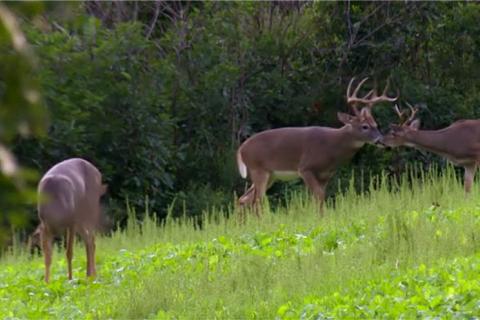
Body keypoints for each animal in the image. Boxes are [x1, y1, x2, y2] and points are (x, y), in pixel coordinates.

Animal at [236, 76, 398, 214]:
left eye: (376, 125)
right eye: (364, 126)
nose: (382, 141)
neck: (332, 147)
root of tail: (241, 149)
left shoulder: (326, 174)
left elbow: (321, 196)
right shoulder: (305, 168)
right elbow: (318, 196)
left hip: (271, 175)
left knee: (243, 199)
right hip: (258, 169)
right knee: (256, 201)